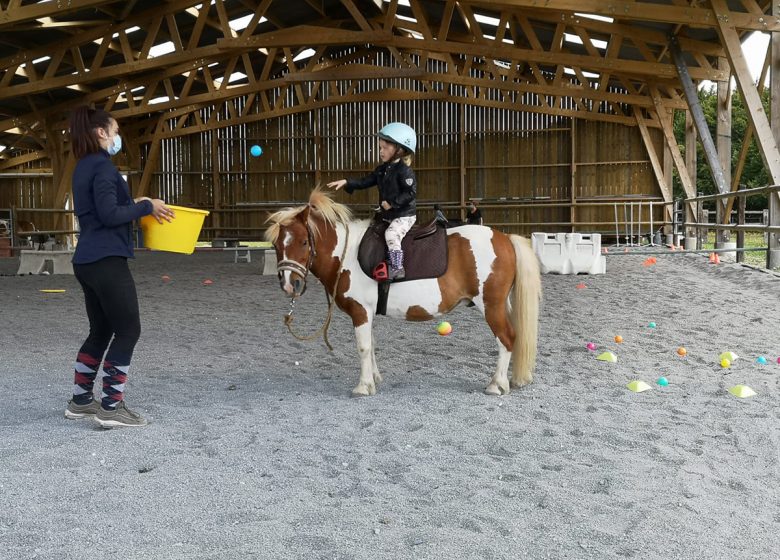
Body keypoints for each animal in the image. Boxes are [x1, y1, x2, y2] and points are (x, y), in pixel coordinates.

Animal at [266, 189, 540, 398]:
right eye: (276, 244)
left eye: (303, 242)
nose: (290, 284)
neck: (347, 254)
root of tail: (505, 238)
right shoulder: (367, 313)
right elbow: (372, 345)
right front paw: (374, 378)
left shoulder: (360, 311)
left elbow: (363, 347)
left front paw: (363, 386)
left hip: (491, 305)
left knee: (506, 338)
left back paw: (496, 384)